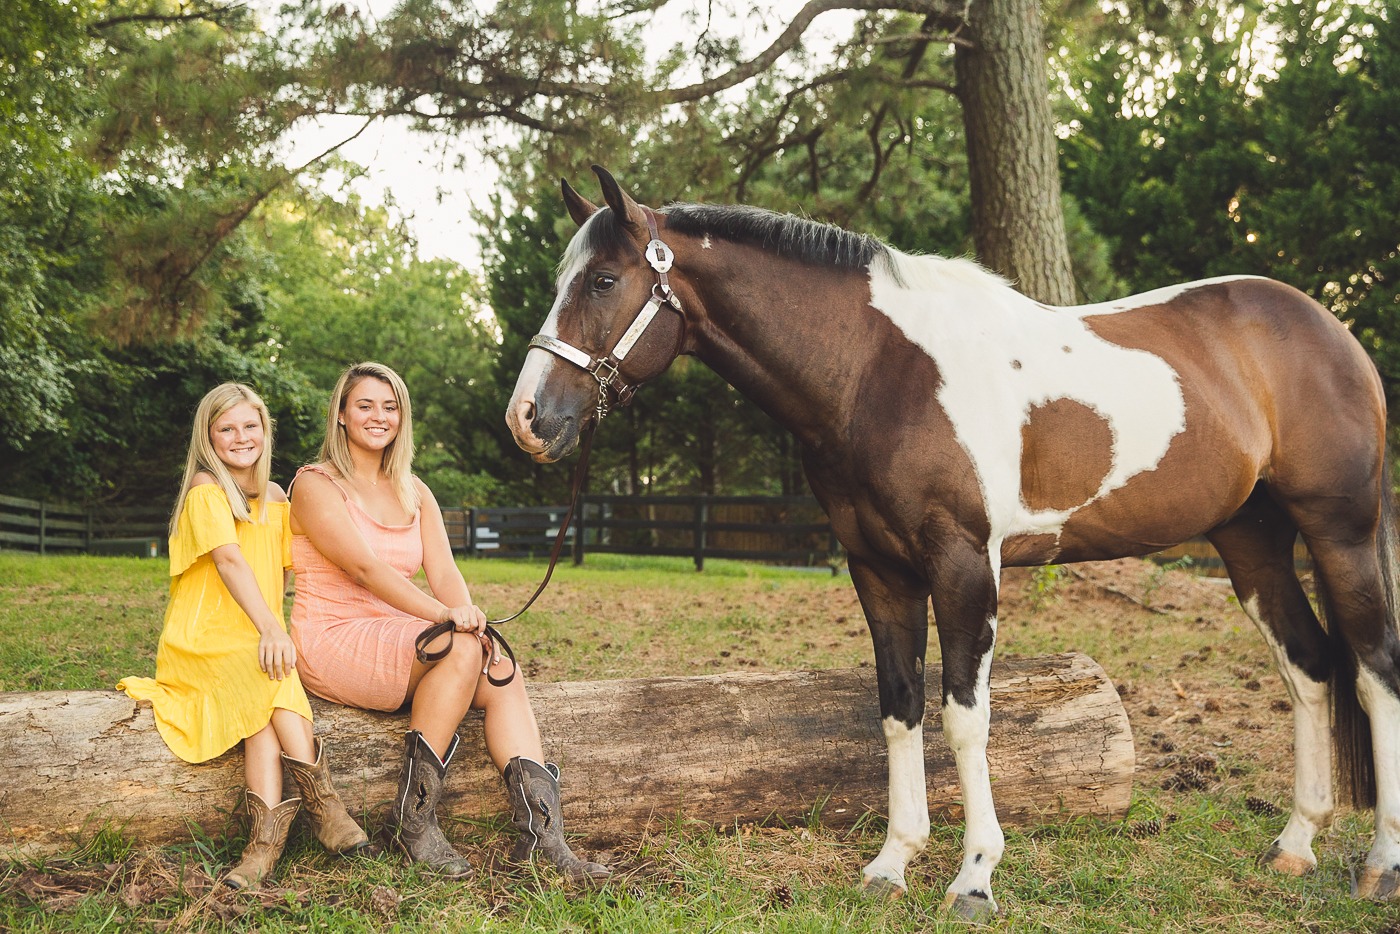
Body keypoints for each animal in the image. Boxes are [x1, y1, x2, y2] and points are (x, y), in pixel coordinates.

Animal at [506, 164, 1400, 918]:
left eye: (603, 280)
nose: (529, 419)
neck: (879, 371)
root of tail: (1326, 327)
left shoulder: (966, 564)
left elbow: (965, 718)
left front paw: (974, 879)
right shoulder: (880, 570)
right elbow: (900, 708)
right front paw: (891, 864)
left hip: (1340, 530)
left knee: (1372, 670)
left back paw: (1379, 865)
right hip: (1251, 540)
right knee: (1310, 667)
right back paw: (1294, 845)